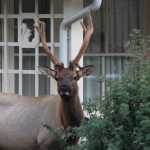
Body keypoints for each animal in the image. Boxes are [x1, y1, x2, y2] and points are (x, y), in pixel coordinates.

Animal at [0, 14, 94, 150]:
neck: (67, 126)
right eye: (57, 77)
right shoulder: (44, 141)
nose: (64, 89)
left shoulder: (74, 143)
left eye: (75, 77)